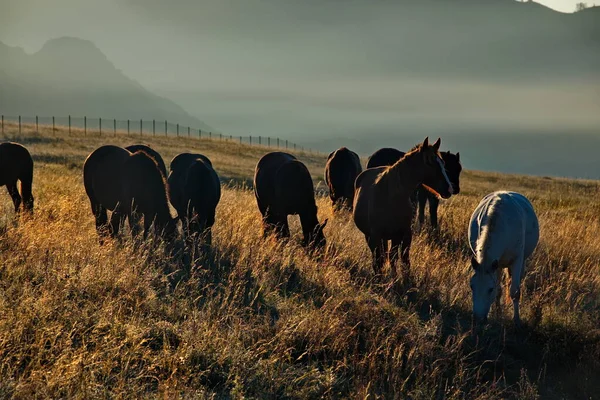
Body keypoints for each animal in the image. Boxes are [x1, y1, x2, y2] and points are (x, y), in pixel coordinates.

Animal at [354, 138, 452, 276]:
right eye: (430, 162)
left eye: (442, 162)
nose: (449, 189)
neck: (390, 196)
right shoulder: (375, 236)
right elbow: (380, 261)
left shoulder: (401, 234)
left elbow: (398, 259)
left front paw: (396, 277)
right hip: (371, 237)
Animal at [468, 190, 540, 324]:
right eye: (472, 286)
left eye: (489, 289)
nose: (478, 318)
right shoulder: (495, 264)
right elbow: (498, 290)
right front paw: (497, 314)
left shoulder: (517, 261)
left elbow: (514, 291)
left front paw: (516, 319)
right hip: (499, 264)